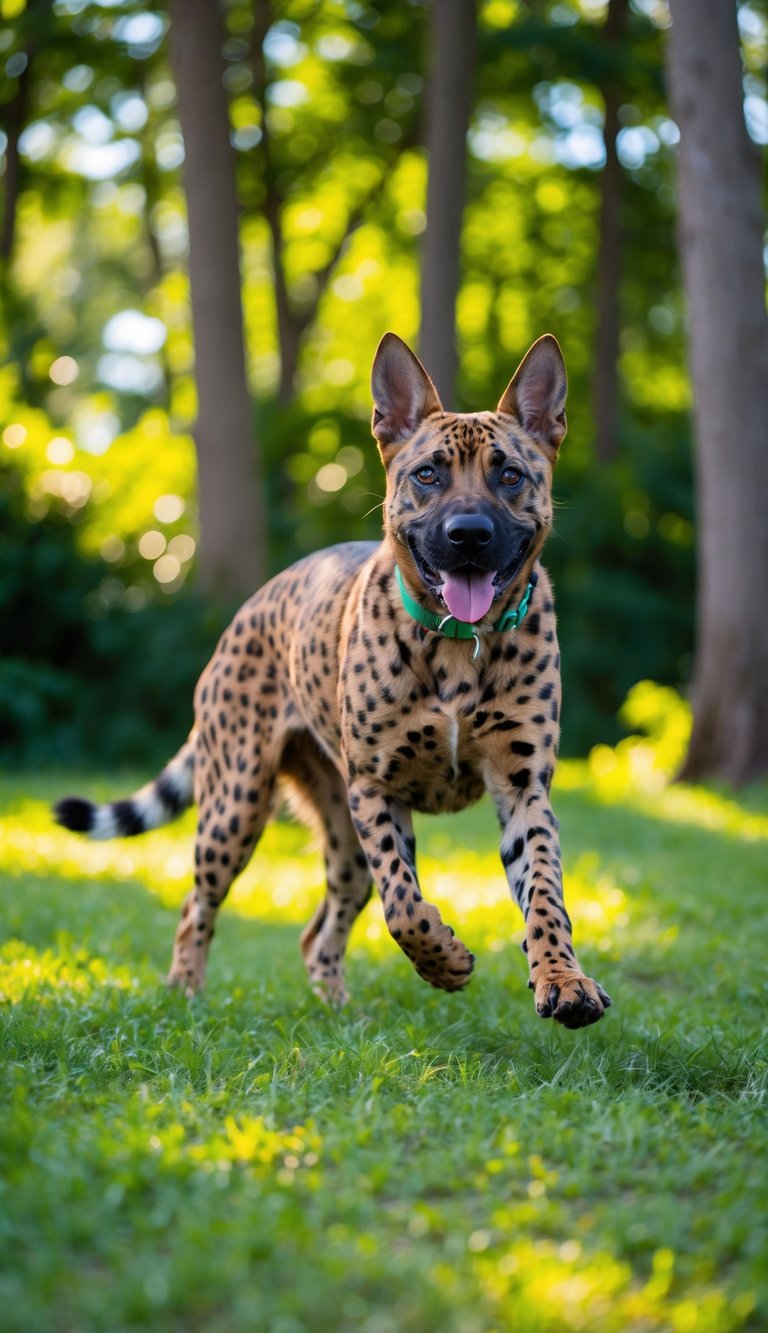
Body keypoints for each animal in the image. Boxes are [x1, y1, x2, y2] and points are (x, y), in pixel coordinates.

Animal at [55, 332, 611, 1029]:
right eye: (427, 474)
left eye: (509, 474)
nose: (469, 536)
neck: (460, 645)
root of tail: (250, 607)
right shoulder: (376, 788)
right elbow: (405, 906)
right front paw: (445, 961)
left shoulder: (522, 789)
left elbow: (545, 897)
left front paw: (564, 980)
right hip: (237, 809)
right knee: (195, 907)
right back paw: (184, 990)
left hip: (341, 841)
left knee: (317, 933)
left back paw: (339, 1009)